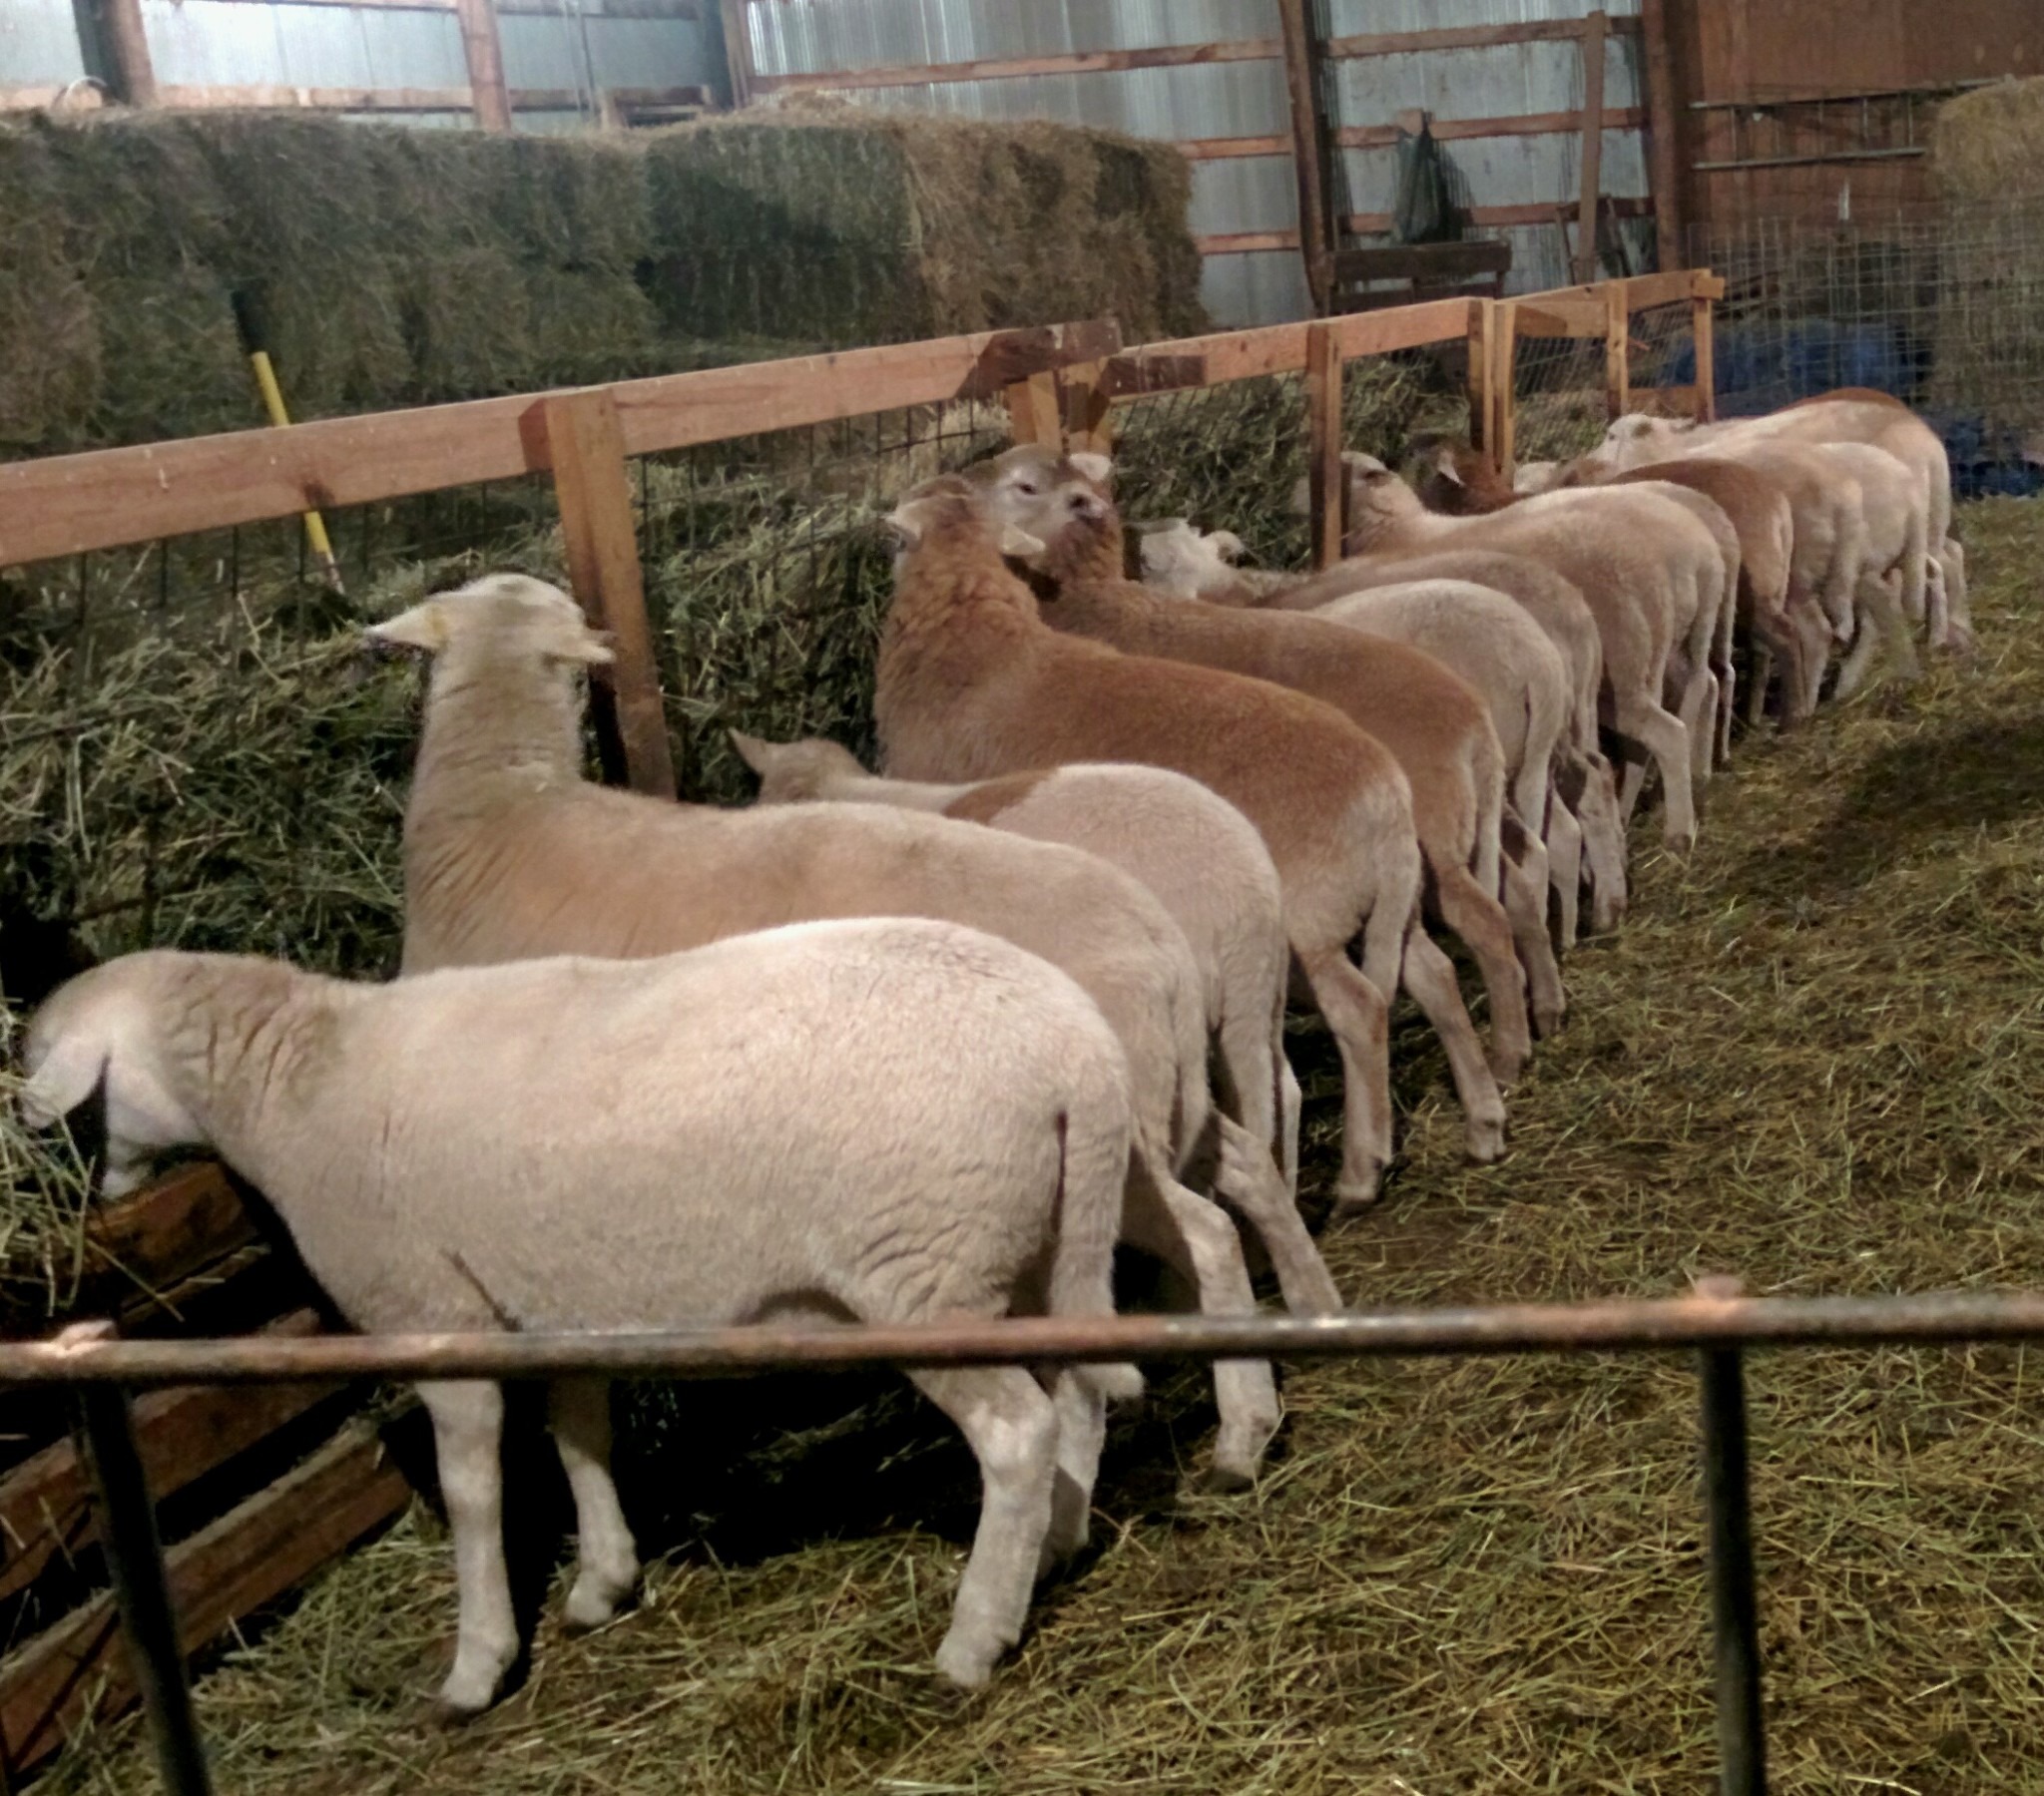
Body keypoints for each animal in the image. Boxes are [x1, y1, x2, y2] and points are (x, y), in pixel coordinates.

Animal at [24, 927, 1153, 1716]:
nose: (72, 1184)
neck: (297, 1081)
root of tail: (1080, 1052)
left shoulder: (432, 1309)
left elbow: (475, 1491)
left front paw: (477, 1666)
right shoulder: (554, 1299)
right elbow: (580, 1436)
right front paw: (604, 1581)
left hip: (923, 1269)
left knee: (1016, 1431)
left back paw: (973, 1640)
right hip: (1039, 1245)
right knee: (1079, 1399)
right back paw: (1054, 1548)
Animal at [373, 576, 1299, 1487]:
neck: (502, 817)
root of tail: (1160, 942)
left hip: (1103, 1160)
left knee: (1203, 1233)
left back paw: (1235, 1430)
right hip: (1164, 1109)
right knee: (1244, 1177)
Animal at [866, 478, 1504, 1209]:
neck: (971, 644)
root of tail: (1384, 797)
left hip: (1311, 924)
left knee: (1363, 1007)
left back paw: (1359, 1173)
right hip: (1385, 906)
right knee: (1431, 970)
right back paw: (1484, 1119)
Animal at [976, 447, 1561, 1079]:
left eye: (1022, 487)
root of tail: (1472, 719)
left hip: (1437, 838)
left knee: (1483, 918)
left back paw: (1509, 1053)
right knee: (1523, 876)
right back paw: (1544, 1006)